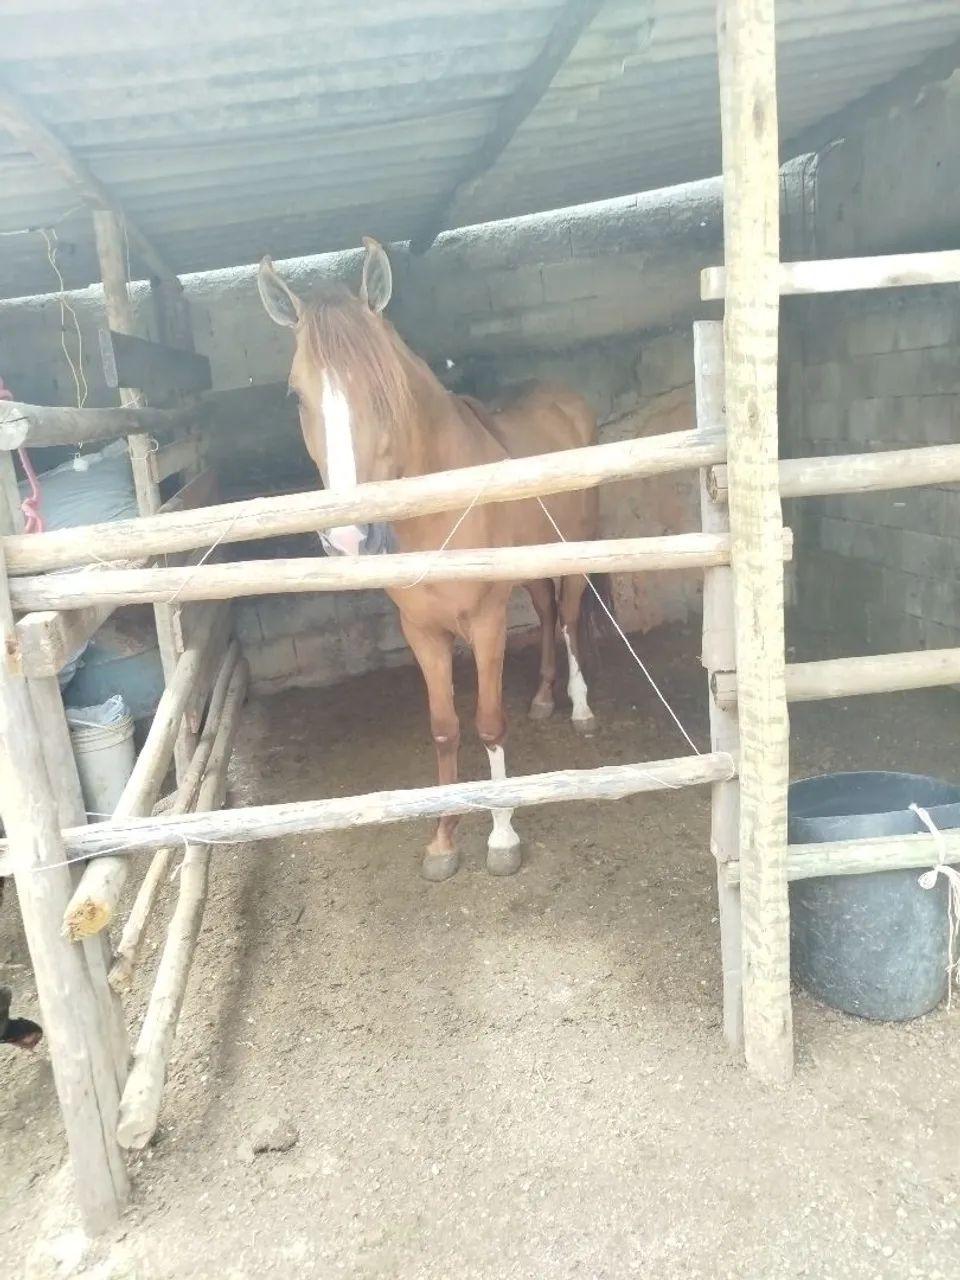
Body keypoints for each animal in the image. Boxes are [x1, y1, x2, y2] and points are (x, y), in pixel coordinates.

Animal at [258, 237, 611, 882]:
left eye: (385, 386)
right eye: (297, 394)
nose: (350, 538)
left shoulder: (488, 621)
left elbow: (489, 722)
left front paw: (502, 836)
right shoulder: (420, 631)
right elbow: (445, 730)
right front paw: (443, 840)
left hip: (575, 551)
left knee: (572, 616)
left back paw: (578, 708)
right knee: (548, 611)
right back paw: (544, 699)